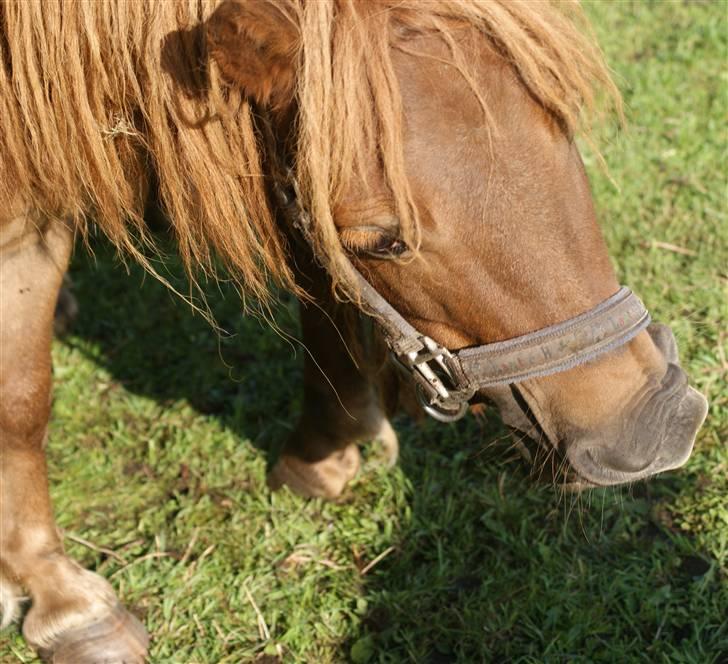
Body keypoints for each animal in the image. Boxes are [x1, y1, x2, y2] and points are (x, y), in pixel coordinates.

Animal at [0, 1, 708, 661]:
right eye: (382, 241)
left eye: (562, 126)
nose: (660, 421)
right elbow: (22, 398)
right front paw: (63, 599)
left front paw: (327, 446)